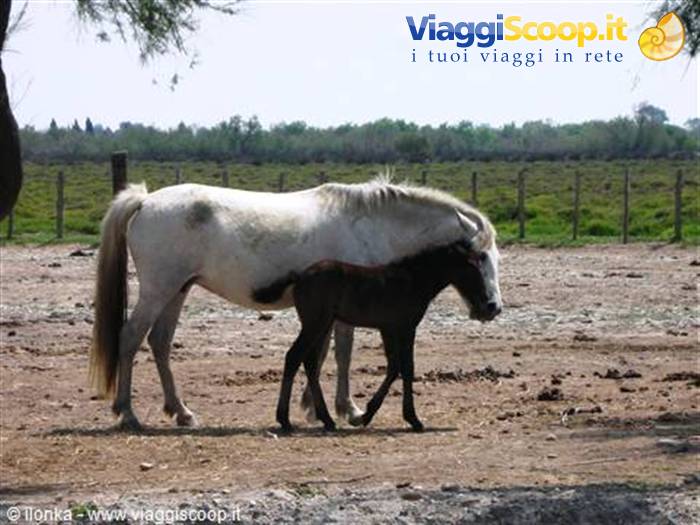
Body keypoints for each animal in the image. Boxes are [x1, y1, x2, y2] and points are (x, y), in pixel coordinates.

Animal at [254, 236, 500, 433]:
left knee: (309, 362)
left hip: (322, 324)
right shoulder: (405, 328)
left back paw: (326, 420)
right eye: (472, 266)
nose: (488, 305)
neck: (412, 280)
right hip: (315, 323)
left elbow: (394, 367)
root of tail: (300, 276)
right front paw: (413, 420)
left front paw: (365, 416)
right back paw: (285, 420)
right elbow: (406, 368)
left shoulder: (388, 329)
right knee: (294, 357)